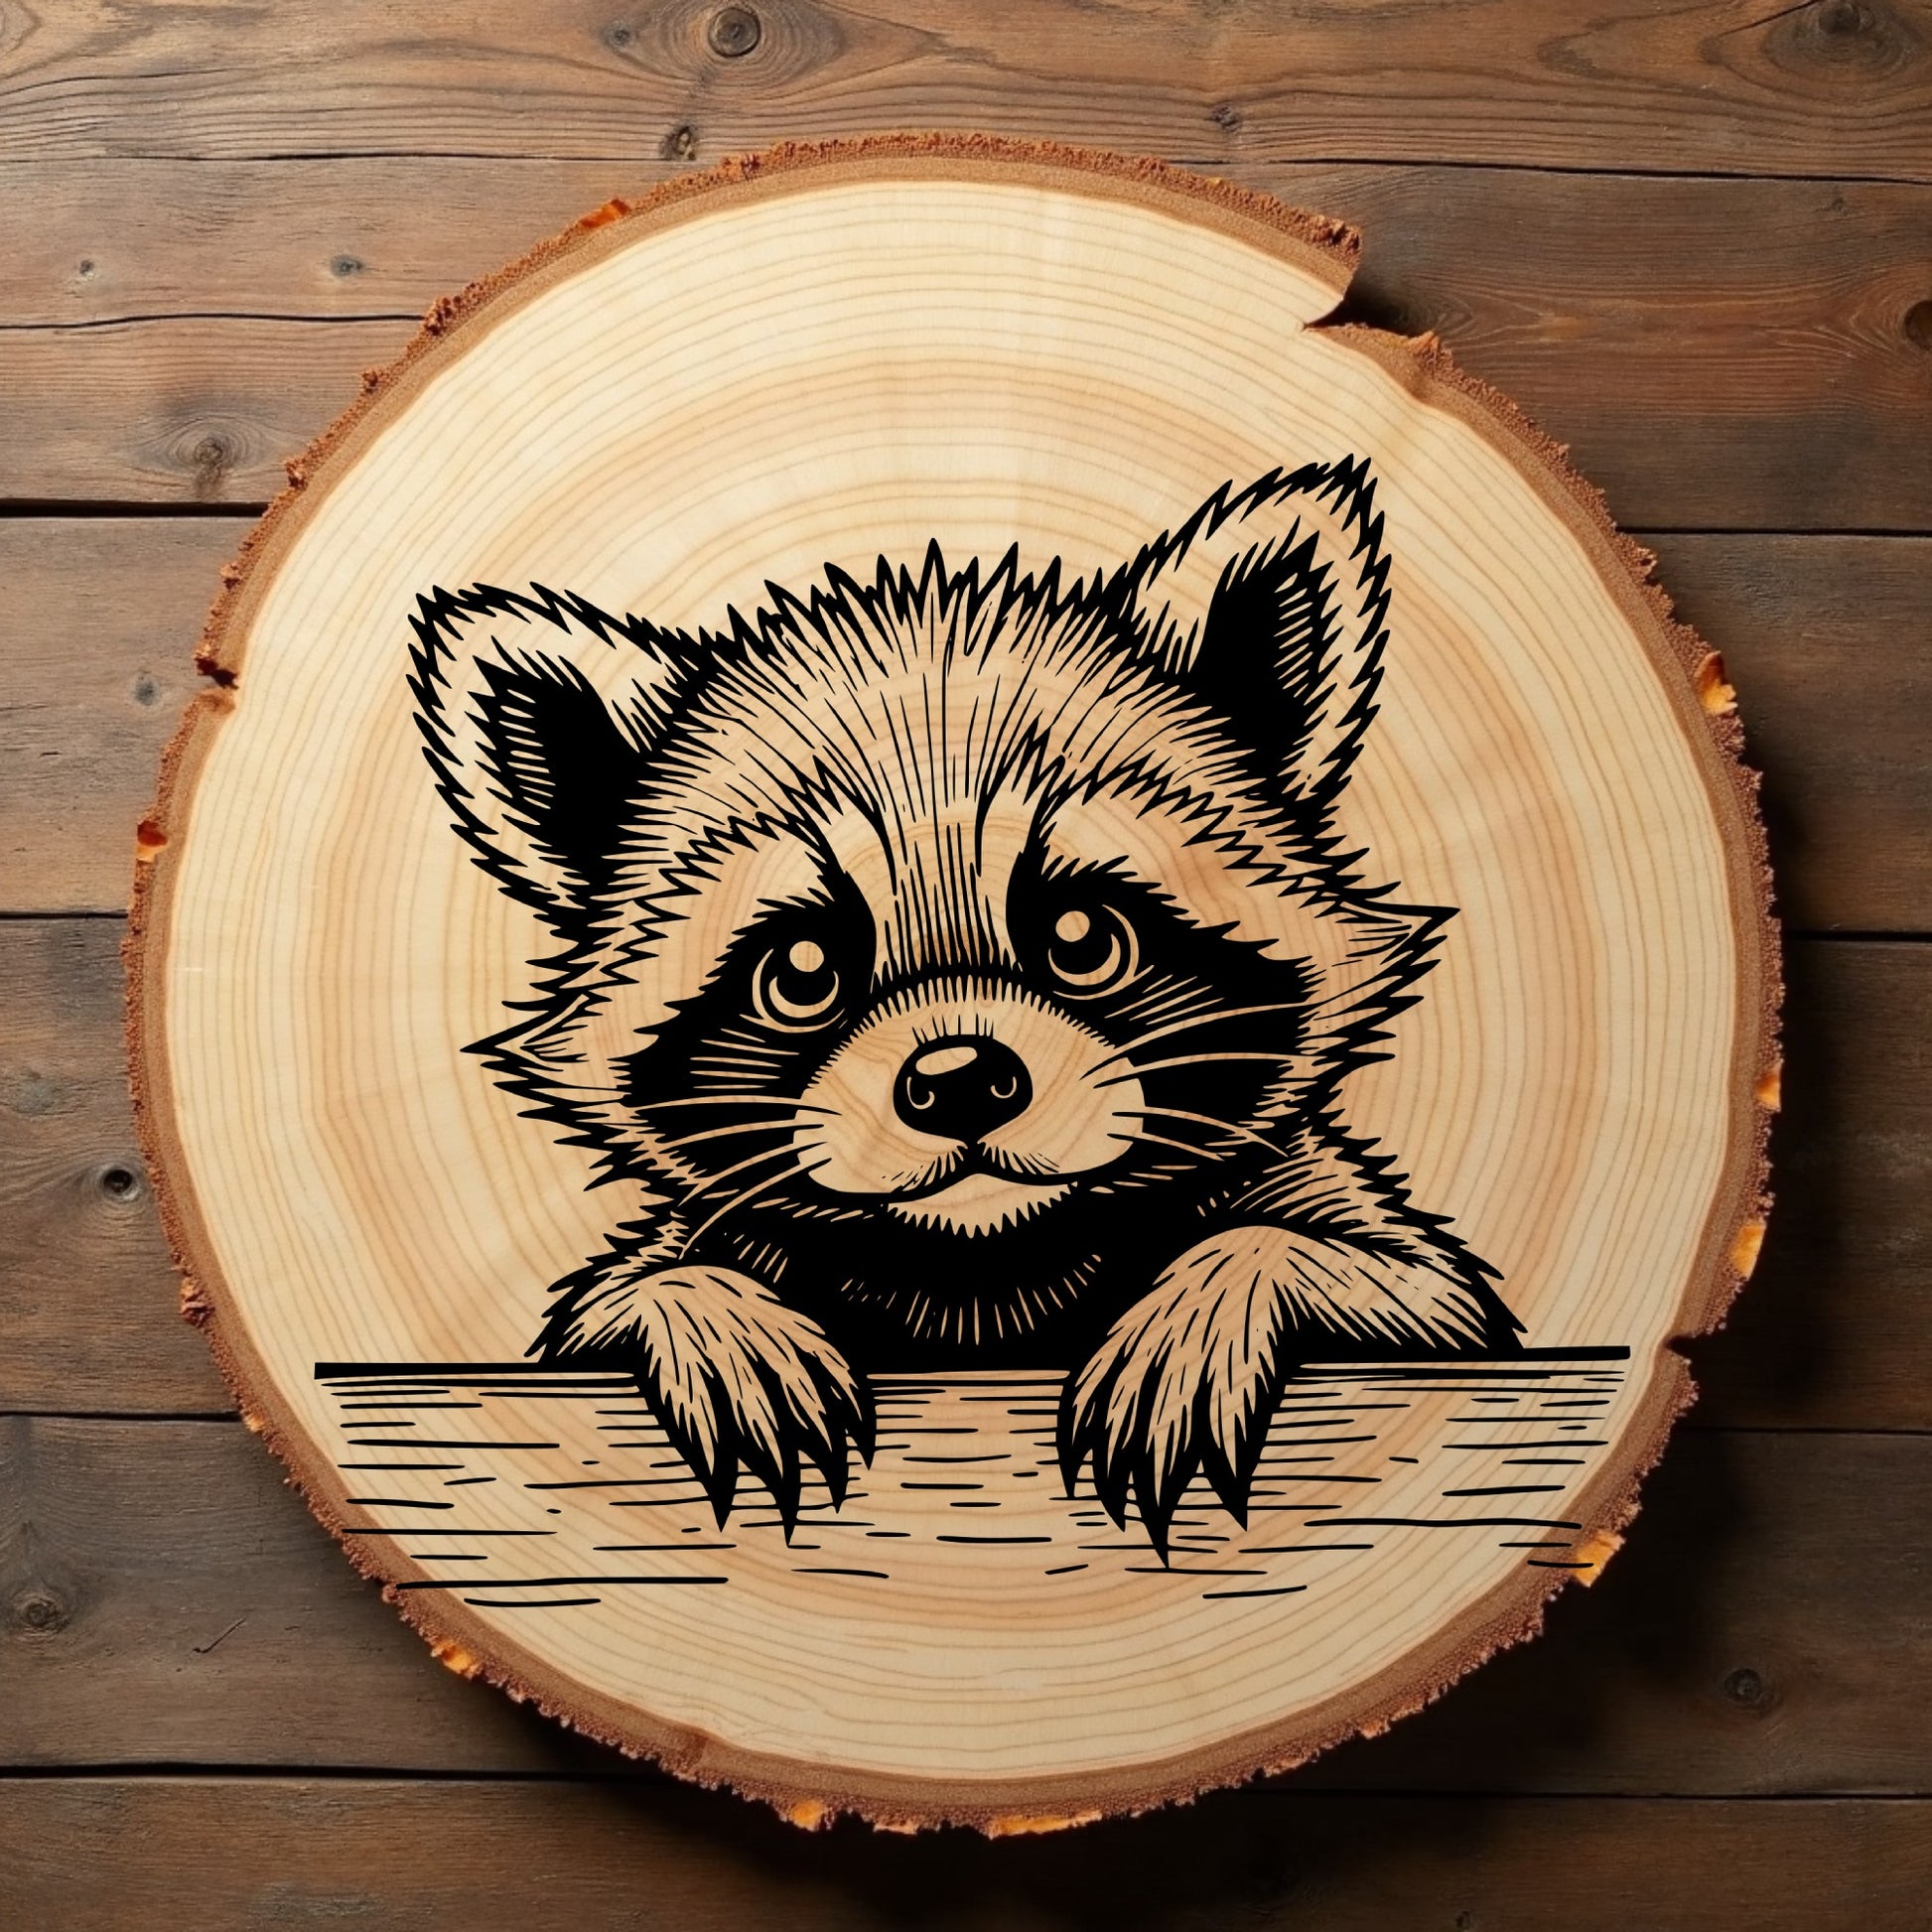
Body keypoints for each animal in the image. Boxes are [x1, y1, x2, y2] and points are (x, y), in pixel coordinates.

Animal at [409, 456, 1520, 1556]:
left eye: (1081, 935)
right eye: (802, 969)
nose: (957, 1079)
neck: (981, 1262)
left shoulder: (1348, 1220)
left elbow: (1410, 1289)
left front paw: (1228, 1284)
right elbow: (618, 1302)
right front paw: (702, 1309)